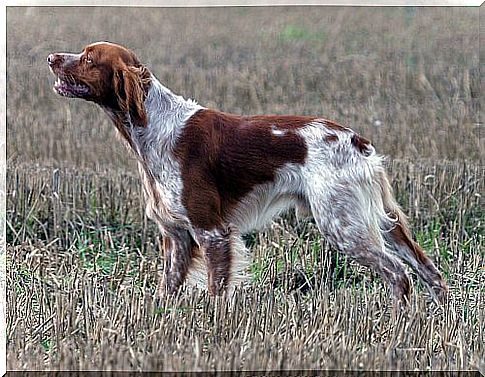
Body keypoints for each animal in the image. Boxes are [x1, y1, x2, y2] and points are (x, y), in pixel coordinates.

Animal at [47, 41, 448, 302]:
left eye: (88, 57)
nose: (50, 57)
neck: (155, 126)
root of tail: (359, 143)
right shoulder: (176, 236)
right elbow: (167, 289)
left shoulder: (212, 231)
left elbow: (216, 292)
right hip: (380, 221)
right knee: (429, 270)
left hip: (343, 224)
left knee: (398, 274)